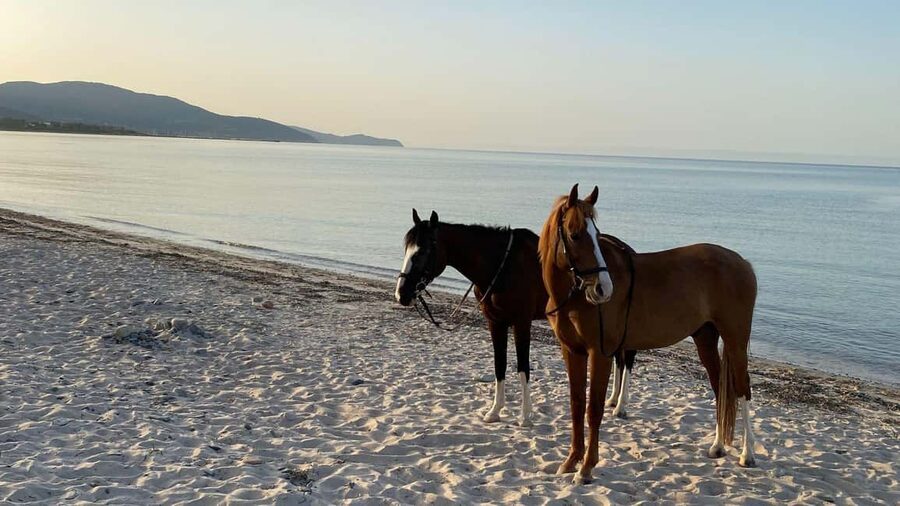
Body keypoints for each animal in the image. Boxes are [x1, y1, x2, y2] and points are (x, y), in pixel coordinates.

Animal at [539, 184, 758, 484]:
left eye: (596, 233)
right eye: (575, 234)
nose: (603, 289)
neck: (574, 299)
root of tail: (742, 262)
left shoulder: (600, 354)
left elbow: (593, 410)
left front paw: (586, 468)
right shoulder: (572, 352)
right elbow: (576, 405)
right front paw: (571, 461)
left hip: (735, 340)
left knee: (742, 389)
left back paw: (747, 454)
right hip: (706, 339)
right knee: (719, 389)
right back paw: (717, 447)